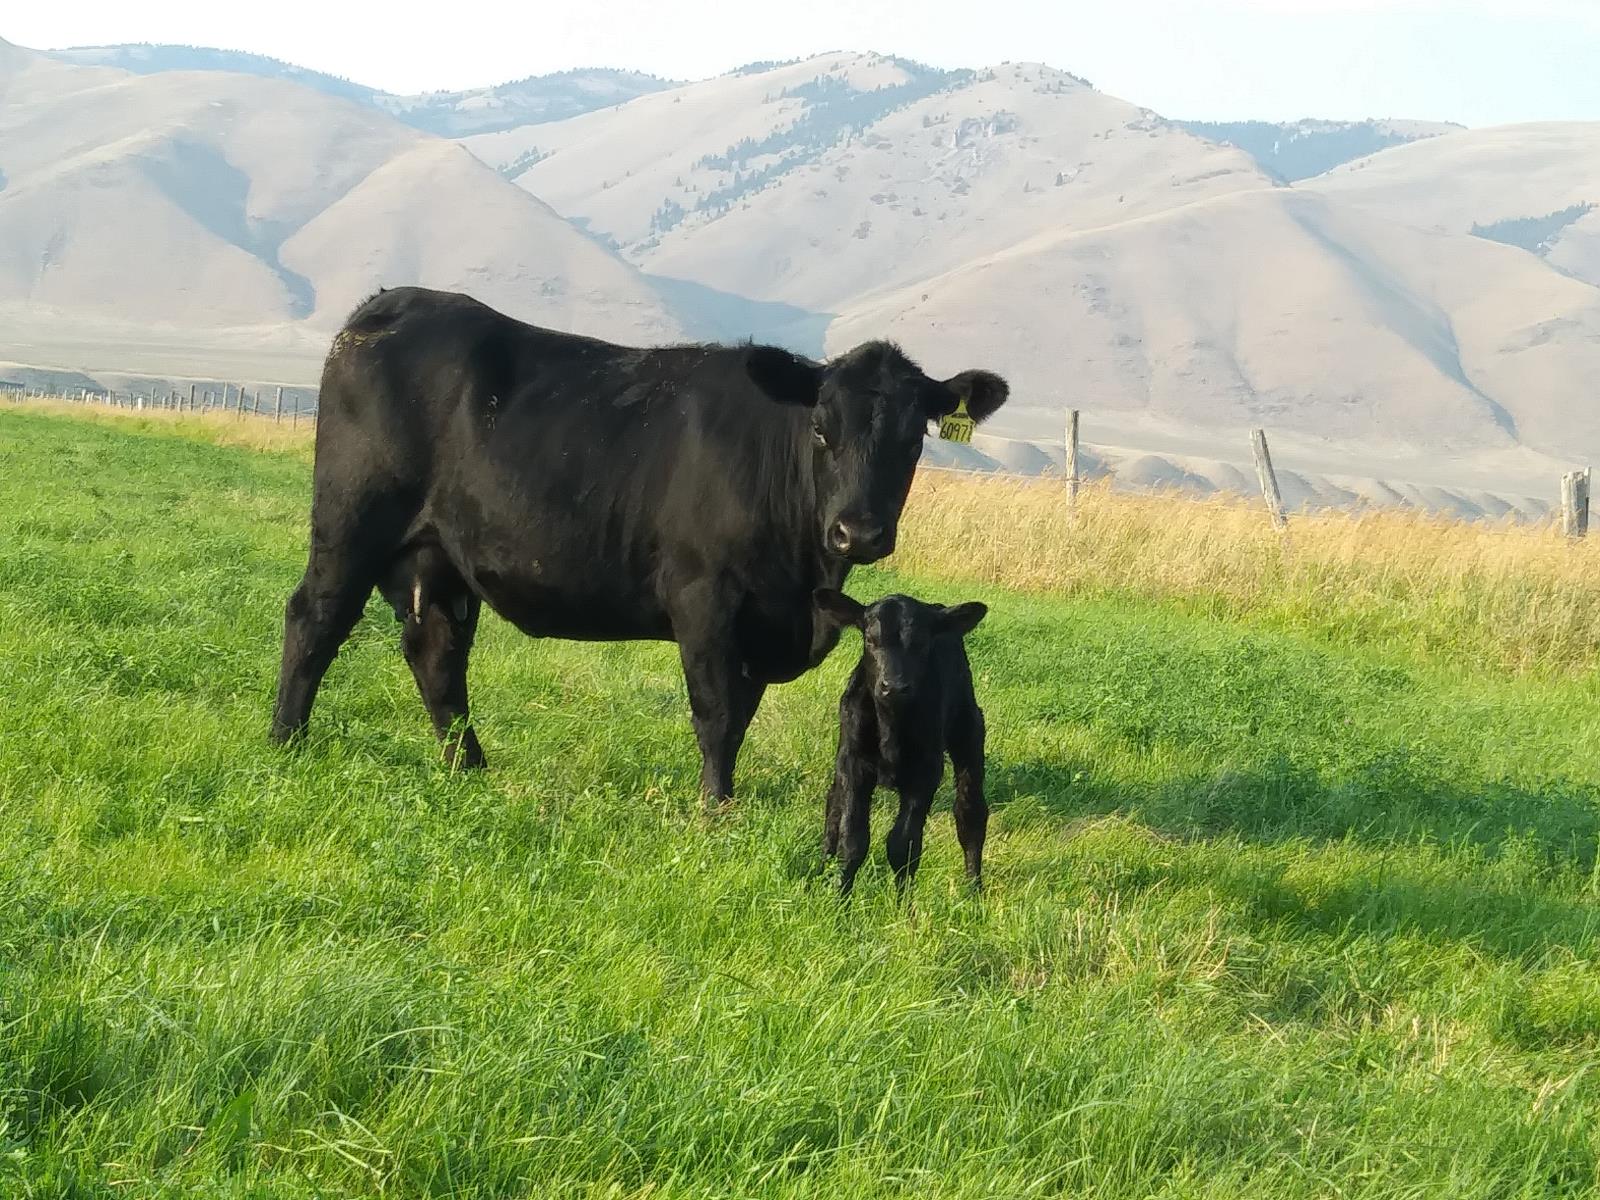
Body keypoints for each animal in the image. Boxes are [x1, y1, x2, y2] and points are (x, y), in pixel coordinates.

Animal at [268, 286, 1004, 803]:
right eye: (822, 428)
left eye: (914, 439)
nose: (860, 531)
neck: (803, 584)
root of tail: (390, 303)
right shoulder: (704, 597)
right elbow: (715, 710)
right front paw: (715, 809)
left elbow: (741, 712)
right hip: (350, 521)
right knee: (315, 618)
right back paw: (286, 744)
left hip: (438, 555)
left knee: (436, 652)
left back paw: (469, 769)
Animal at [812, 588, 985, 896]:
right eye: (870, 640)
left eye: (921, 643)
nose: (893, 686)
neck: (891, 725)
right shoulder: (852, 761)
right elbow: (852, 839)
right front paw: (839, 898)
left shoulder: (926, 770)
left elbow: (903, 845)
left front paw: (903, 902)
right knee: (833, 804)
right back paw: (821, 868)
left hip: (969, 730)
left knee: (970, 815)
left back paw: (974, 892)